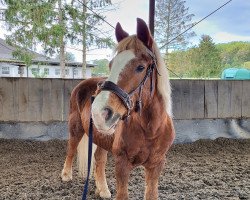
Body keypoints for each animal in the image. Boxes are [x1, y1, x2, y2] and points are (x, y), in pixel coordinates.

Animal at [61, 18, 175, 199]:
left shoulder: (156, 165)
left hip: (101, 136)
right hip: (76, 127)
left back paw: (103, 189)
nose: (99, 113)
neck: (150, 129)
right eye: (111, 65)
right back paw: (66, 175)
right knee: (71, 148)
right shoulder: (122, 164)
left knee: (99, 159)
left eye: (140, 67)